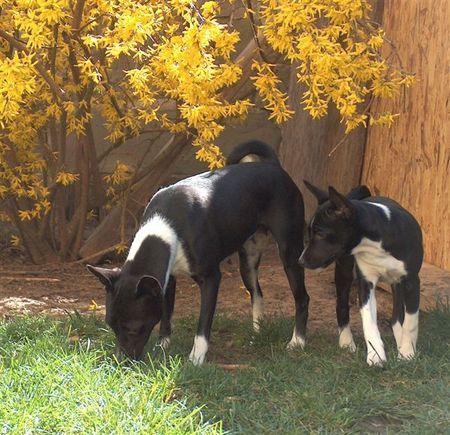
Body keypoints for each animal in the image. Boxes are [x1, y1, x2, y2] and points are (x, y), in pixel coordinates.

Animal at [87, 142, 310, 364]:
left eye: (134, 329)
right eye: (111, 326)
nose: (121, 361)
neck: (169, 222)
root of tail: (273, 166)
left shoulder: (211, 278)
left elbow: (203, 324)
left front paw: (196, 358)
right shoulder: (167, 279)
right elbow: (166, 314)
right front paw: (163, 345)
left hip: (290, 253)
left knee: (302, 298)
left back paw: (297, 341)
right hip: (248, 261)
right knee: (257, 293)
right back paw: (257, 333)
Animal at [298, 182, 422, 366]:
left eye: (320, 233)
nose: (300, 261)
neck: (377, 243)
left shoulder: (411, 282)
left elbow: (411, 321)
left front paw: (406, 353)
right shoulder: (366, 282)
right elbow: (368, 322)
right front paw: (376, 355)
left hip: (397, 283)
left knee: (396, 315)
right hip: (344, 270)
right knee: (342, 305)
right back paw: (346, 341)